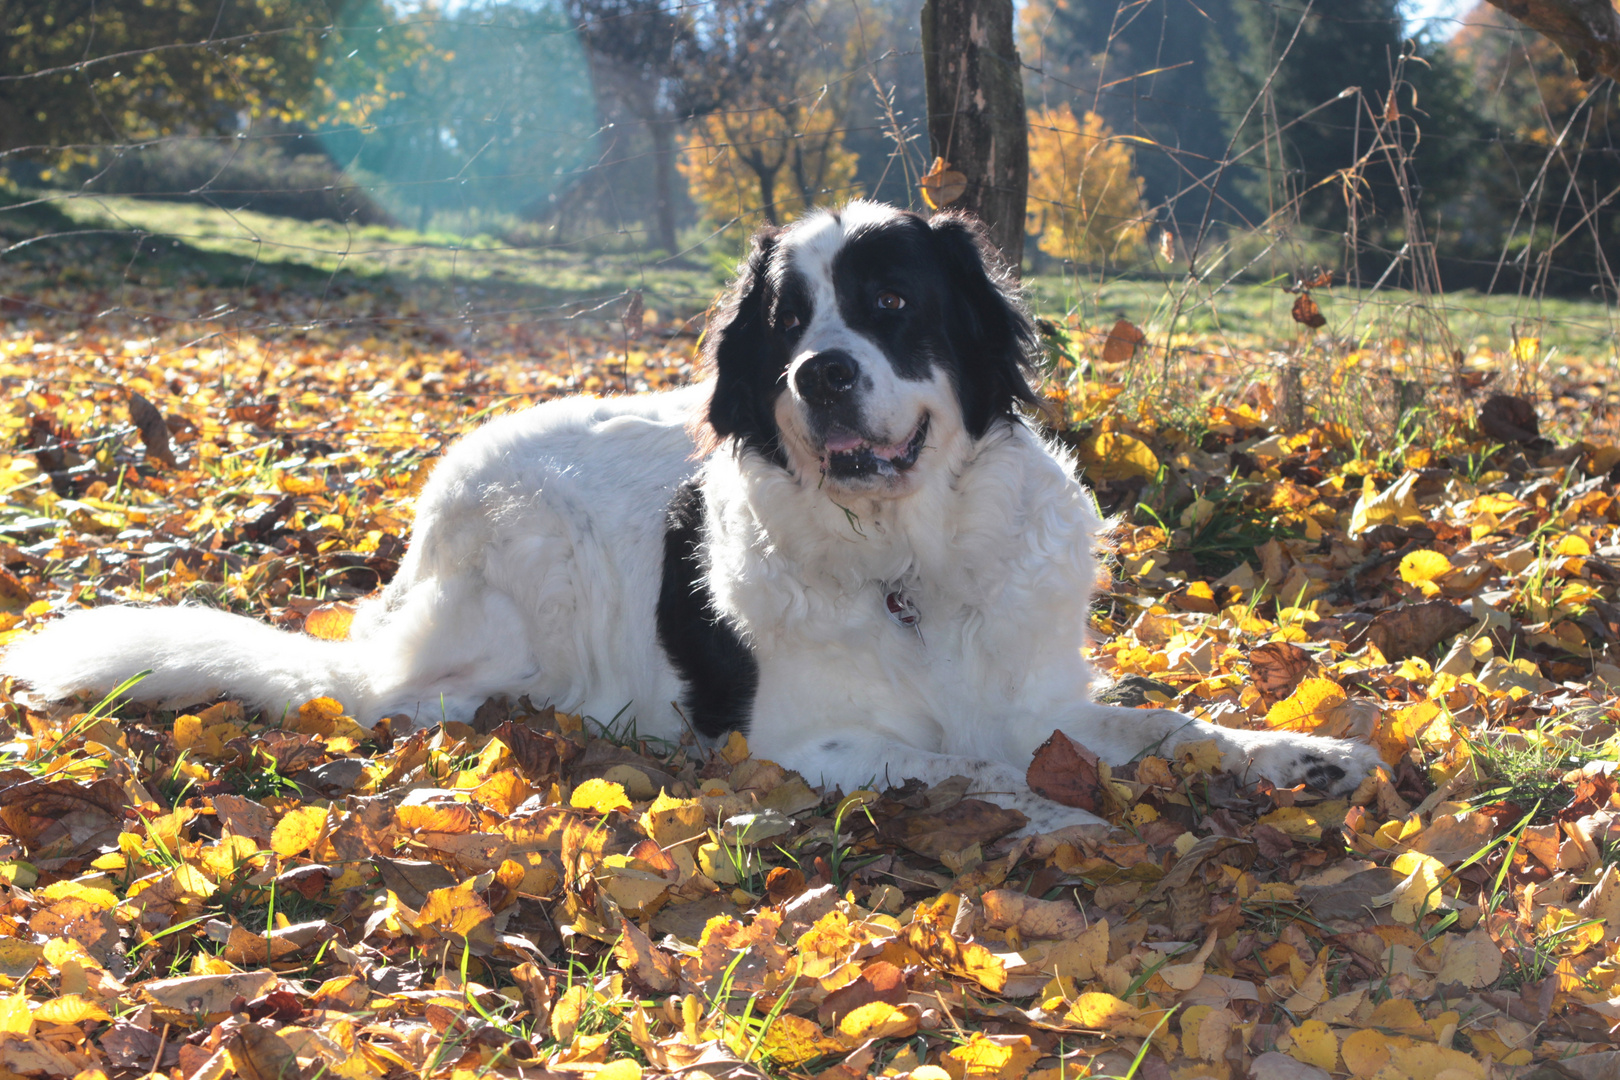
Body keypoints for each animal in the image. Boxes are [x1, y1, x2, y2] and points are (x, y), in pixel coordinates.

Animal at [3, 200, 1380, 829]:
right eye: (788, 321)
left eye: (891, 303)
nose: (820, 375)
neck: (907, 562)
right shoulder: (805, 743)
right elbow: (965, 766)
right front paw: (1057, 810)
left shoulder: (1036, 688)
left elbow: (1162, 722)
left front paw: (1292, 753)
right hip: (522, 557)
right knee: (422, 699)